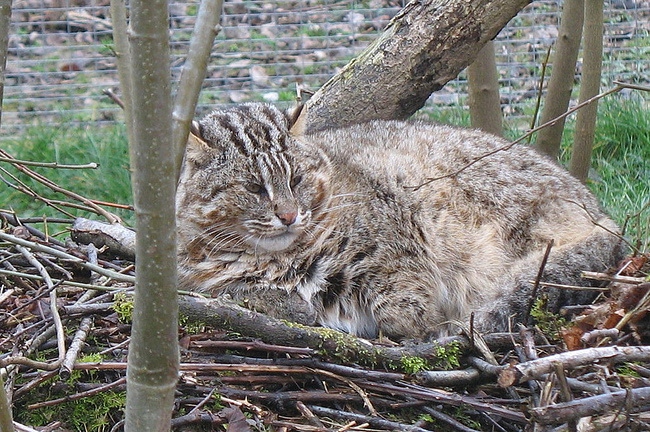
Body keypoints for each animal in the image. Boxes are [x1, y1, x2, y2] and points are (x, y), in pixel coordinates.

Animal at [175, 102, 624, 340]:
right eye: (254, 187)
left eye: (297, 179)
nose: (288, 215)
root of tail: (600, 211)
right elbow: (242, 293)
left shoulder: (395, 242)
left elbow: (403, 297)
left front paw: (410, 330)